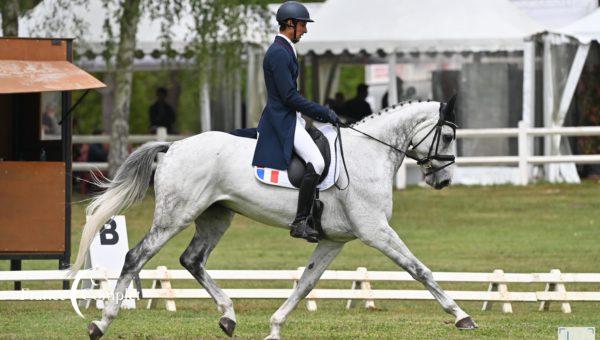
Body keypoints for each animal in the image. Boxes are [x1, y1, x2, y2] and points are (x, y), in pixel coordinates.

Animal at [69, 97, 478, 338]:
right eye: (447, 137)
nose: (442, 181)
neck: (368, 154)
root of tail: (173, 147)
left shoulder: (334, 240)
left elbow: (306, 283)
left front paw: (275, 327)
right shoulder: (376, 230)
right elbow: (420, 270)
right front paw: (462, 316)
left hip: (215, 216)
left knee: (193, 260)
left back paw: (228, 316)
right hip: (175, 214)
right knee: (136, 257)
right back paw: (101, 323)